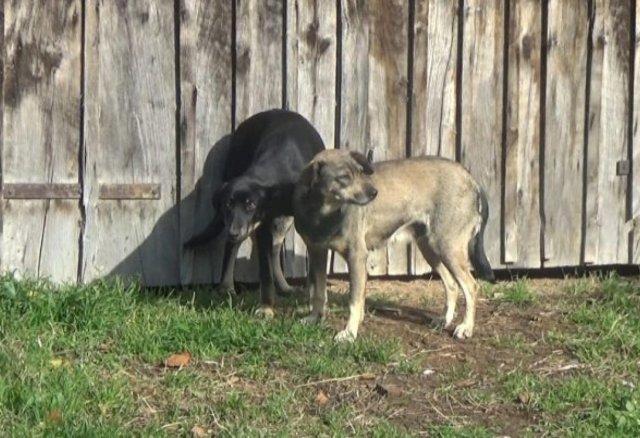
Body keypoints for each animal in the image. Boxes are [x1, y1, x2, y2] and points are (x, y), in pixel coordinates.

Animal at [184, 108, 324, 314]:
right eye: (227, 205)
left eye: (250, 205)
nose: (233, 231)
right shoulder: (261, 225)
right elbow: (265, 272)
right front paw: (266, 307)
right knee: (235, 247)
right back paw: (227, 287)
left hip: (280, 222)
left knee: (274, 248)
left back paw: (284, 286)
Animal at [292, 151, 492, 342]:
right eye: (344, 177)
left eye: (360, 172)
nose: (374, 193)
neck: (323, 214)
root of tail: (470, 178)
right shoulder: (317, 252)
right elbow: (319, 292)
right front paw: (314, 318)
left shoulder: (356, 256)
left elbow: (354, 301)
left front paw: (349, 333)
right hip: (430, 247)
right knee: (451, 285)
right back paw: (444, 320)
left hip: (448, 247)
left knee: (471, 286)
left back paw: (466, 327)